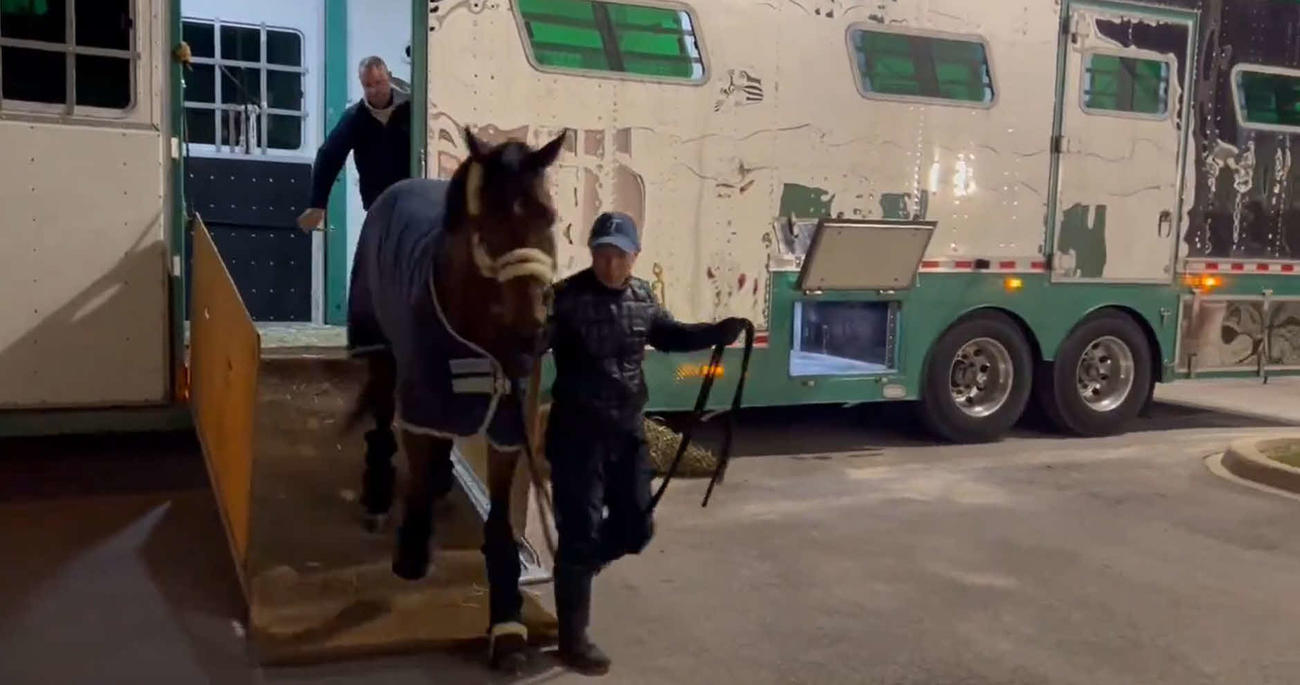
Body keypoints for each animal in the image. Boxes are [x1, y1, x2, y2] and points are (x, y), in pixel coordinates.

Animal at [341, 126, 566, 671]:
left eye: (548, 216)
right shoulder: (421, 401)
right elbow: (418, 477)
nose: (532, 334)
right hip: (381, 351)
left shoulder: (506, 428)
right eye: (490, 221)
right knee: (381, 423)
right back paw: (377, 497)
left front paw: (506, 625)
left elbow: (501, 526)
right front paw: (411, 556)